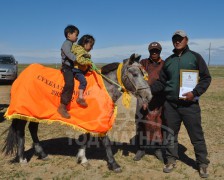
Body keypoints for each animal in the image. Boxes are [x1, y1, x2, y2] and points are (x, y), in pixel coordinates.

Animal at [1, 53, 151, 173]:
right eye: (135, 74)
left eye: (143, 74)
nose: (148, 96)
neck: (102, 88)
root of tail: (22, 76)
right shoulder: (99, 119)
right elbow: (105, 141)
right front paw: (114, 164)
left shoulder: (90, 118)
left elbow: (86, 137)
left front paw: (82, 159)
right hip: (23, 112)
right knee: (21, 132)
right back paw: (22, 159)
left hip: (36, 112)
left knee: (32, 129)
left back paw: (42, 154)